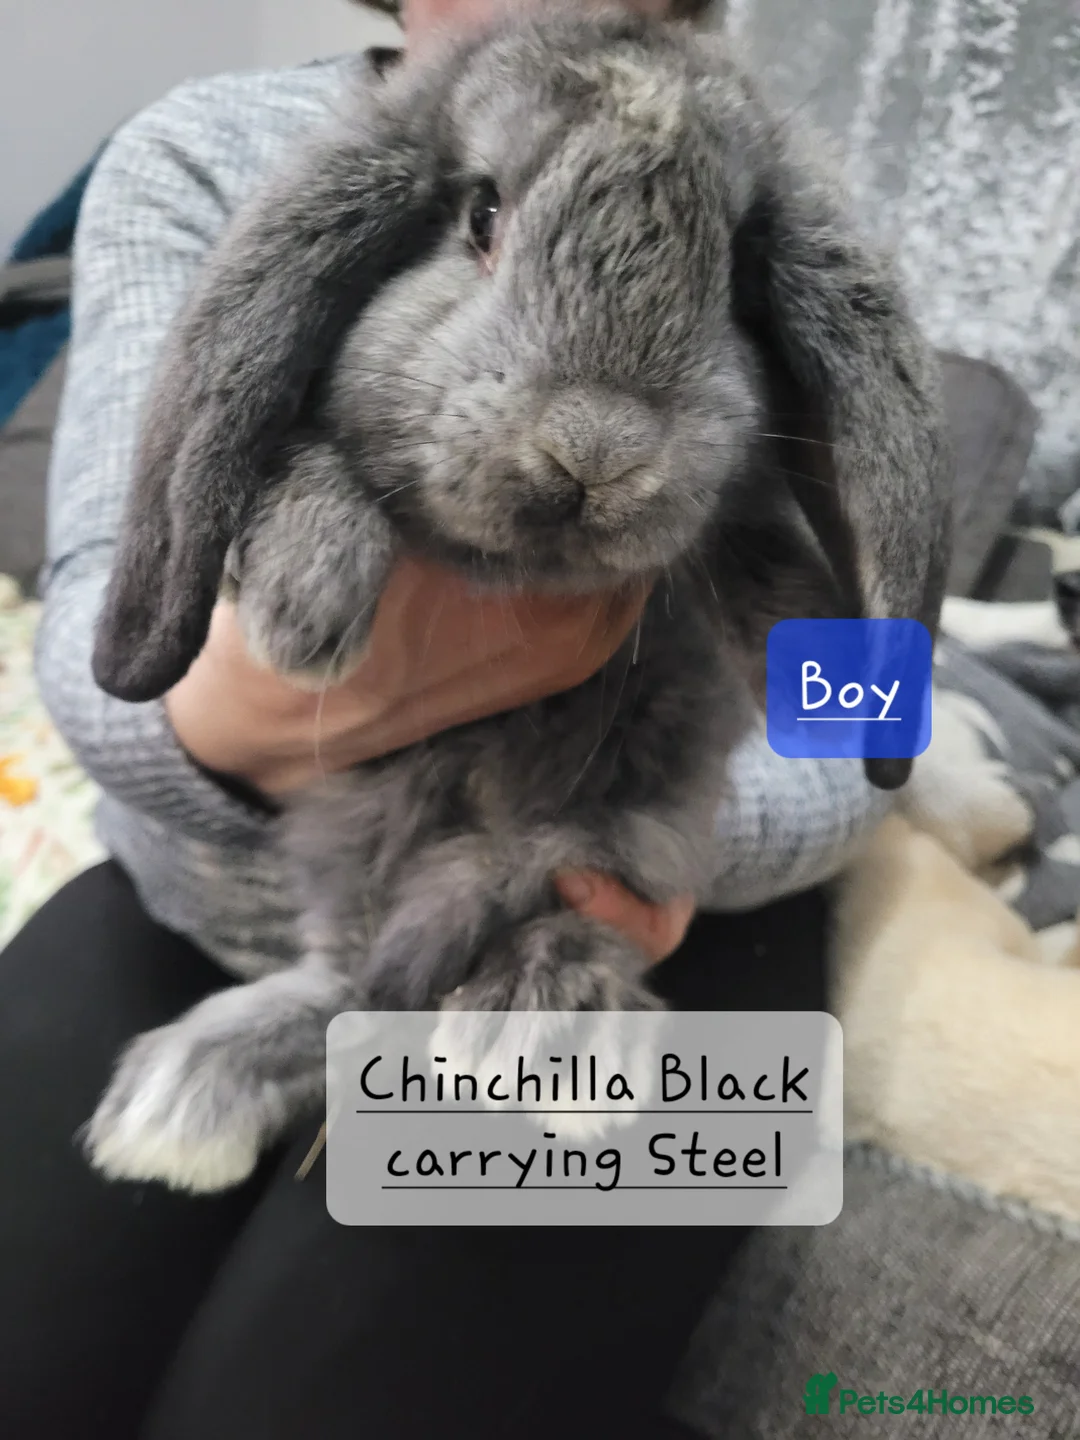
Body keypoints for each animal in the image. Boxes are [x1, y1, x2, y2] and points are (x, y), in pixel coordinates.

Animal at [85, 4, 952, 1193]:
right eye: (480, 215)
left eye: (734, 272)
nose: (593, 455)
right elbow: (300, 461)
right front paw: (310, 605)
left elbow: (753, 555)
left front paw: (816, 648)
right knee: (349, 984)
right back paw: (185, 1100)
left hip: (608, 829)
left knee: (527, 925)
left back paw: (539, 1032)